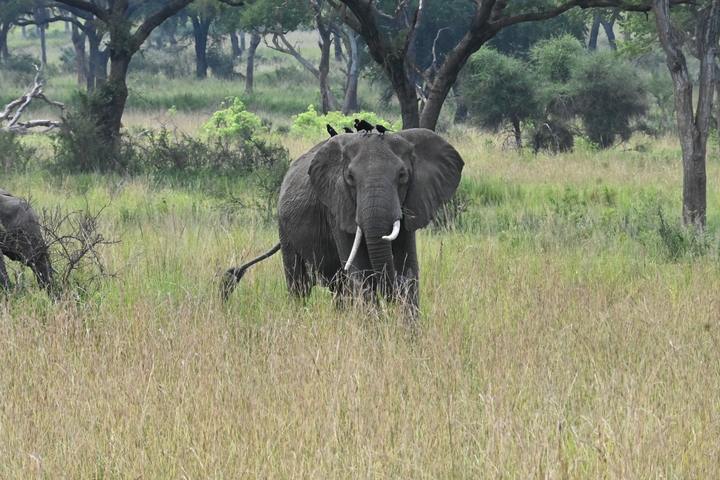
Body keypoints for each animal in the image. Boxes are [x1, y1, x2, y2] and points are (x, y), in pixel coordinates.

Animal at [222, 128, 464, 320]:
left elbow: (409, 264)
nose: (398, 282)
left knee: (339, 288)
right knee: (300, 286)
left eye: (403, 175)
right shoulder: (336, 204)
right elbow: (360, 271)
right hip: (285, 229)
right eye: (350, 178)